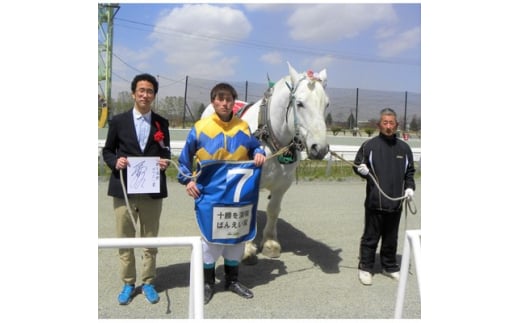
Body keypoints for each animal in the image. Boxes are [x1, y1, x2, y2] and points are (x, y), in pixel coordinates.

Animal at [200, 62, 330, 264]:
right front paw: (246, 248)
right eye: (300, 104)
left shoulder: (283, 183)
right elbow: (248, 210)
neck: (271, 138)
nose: (320, 148)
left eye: (326, 104)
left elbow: (273, 210)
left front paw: (270, 242)